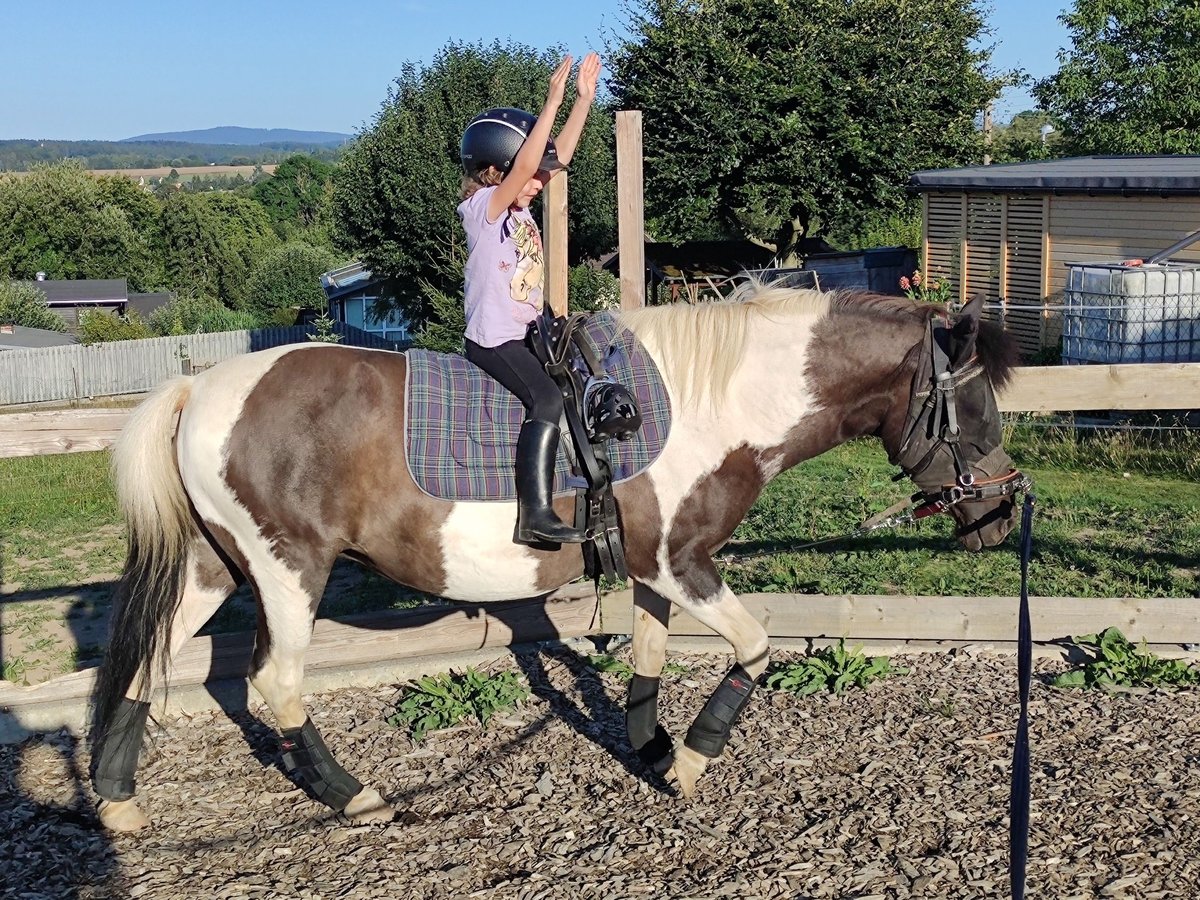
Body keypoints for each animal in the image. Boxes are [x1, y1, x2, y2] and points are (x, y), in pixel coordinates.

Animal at [88, 286, 1022, 830]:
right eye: (973, 401)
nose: (1002, 512)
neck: (712, 400)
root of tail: (197, 389)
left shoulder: (652, 569)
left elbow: (648, 658)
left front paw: (652, 751)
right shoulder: (679, 563)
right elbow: (756, 648)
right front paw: (692, 759)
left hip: (217, 565)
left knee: (146, 660)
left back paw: (116, 800)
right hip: (289, 568)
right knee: (276, 683)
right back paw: (350, 794)